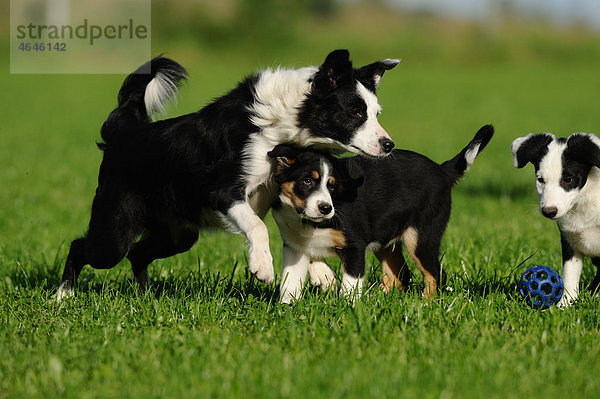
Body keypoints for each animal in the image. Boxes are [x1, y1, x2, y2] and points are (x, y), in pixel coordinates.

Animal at [58, 49, 400, 300]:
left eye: (375, 113)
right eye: (355, 112)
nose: (389, 144)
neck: (283, 122)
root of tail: (123, 133)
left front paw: (322, 274)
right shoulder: (223, 192)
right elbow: (258, 227)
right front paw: (263, 268)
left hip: (178, 234)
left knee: (138, 254)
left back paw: (146, 295)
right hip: (114, 232)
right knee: (82, 247)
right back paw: (64, 295)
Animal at [270, 125, 494, 304]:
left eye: (332, 186)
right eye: (307, 181)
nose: (326, 208)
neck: (308, 221)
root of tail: (441, 170)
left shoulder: (354, 246)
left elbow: (350, 285)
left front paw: (347, 309)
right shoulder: (294, 246)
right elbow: (290, 281)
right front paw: (287, 308)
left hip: (420, 237)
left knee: (436, 274)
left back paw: (425, 303)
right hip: (386, 238)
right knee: (400, 275)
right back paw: (380, 298)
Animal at [510, 133, 600, 308]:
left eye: (569, 179)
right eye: (540, 179)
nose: (549, 211)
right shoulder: (570, 241)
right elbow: (569, 275)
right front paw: (565, 305)